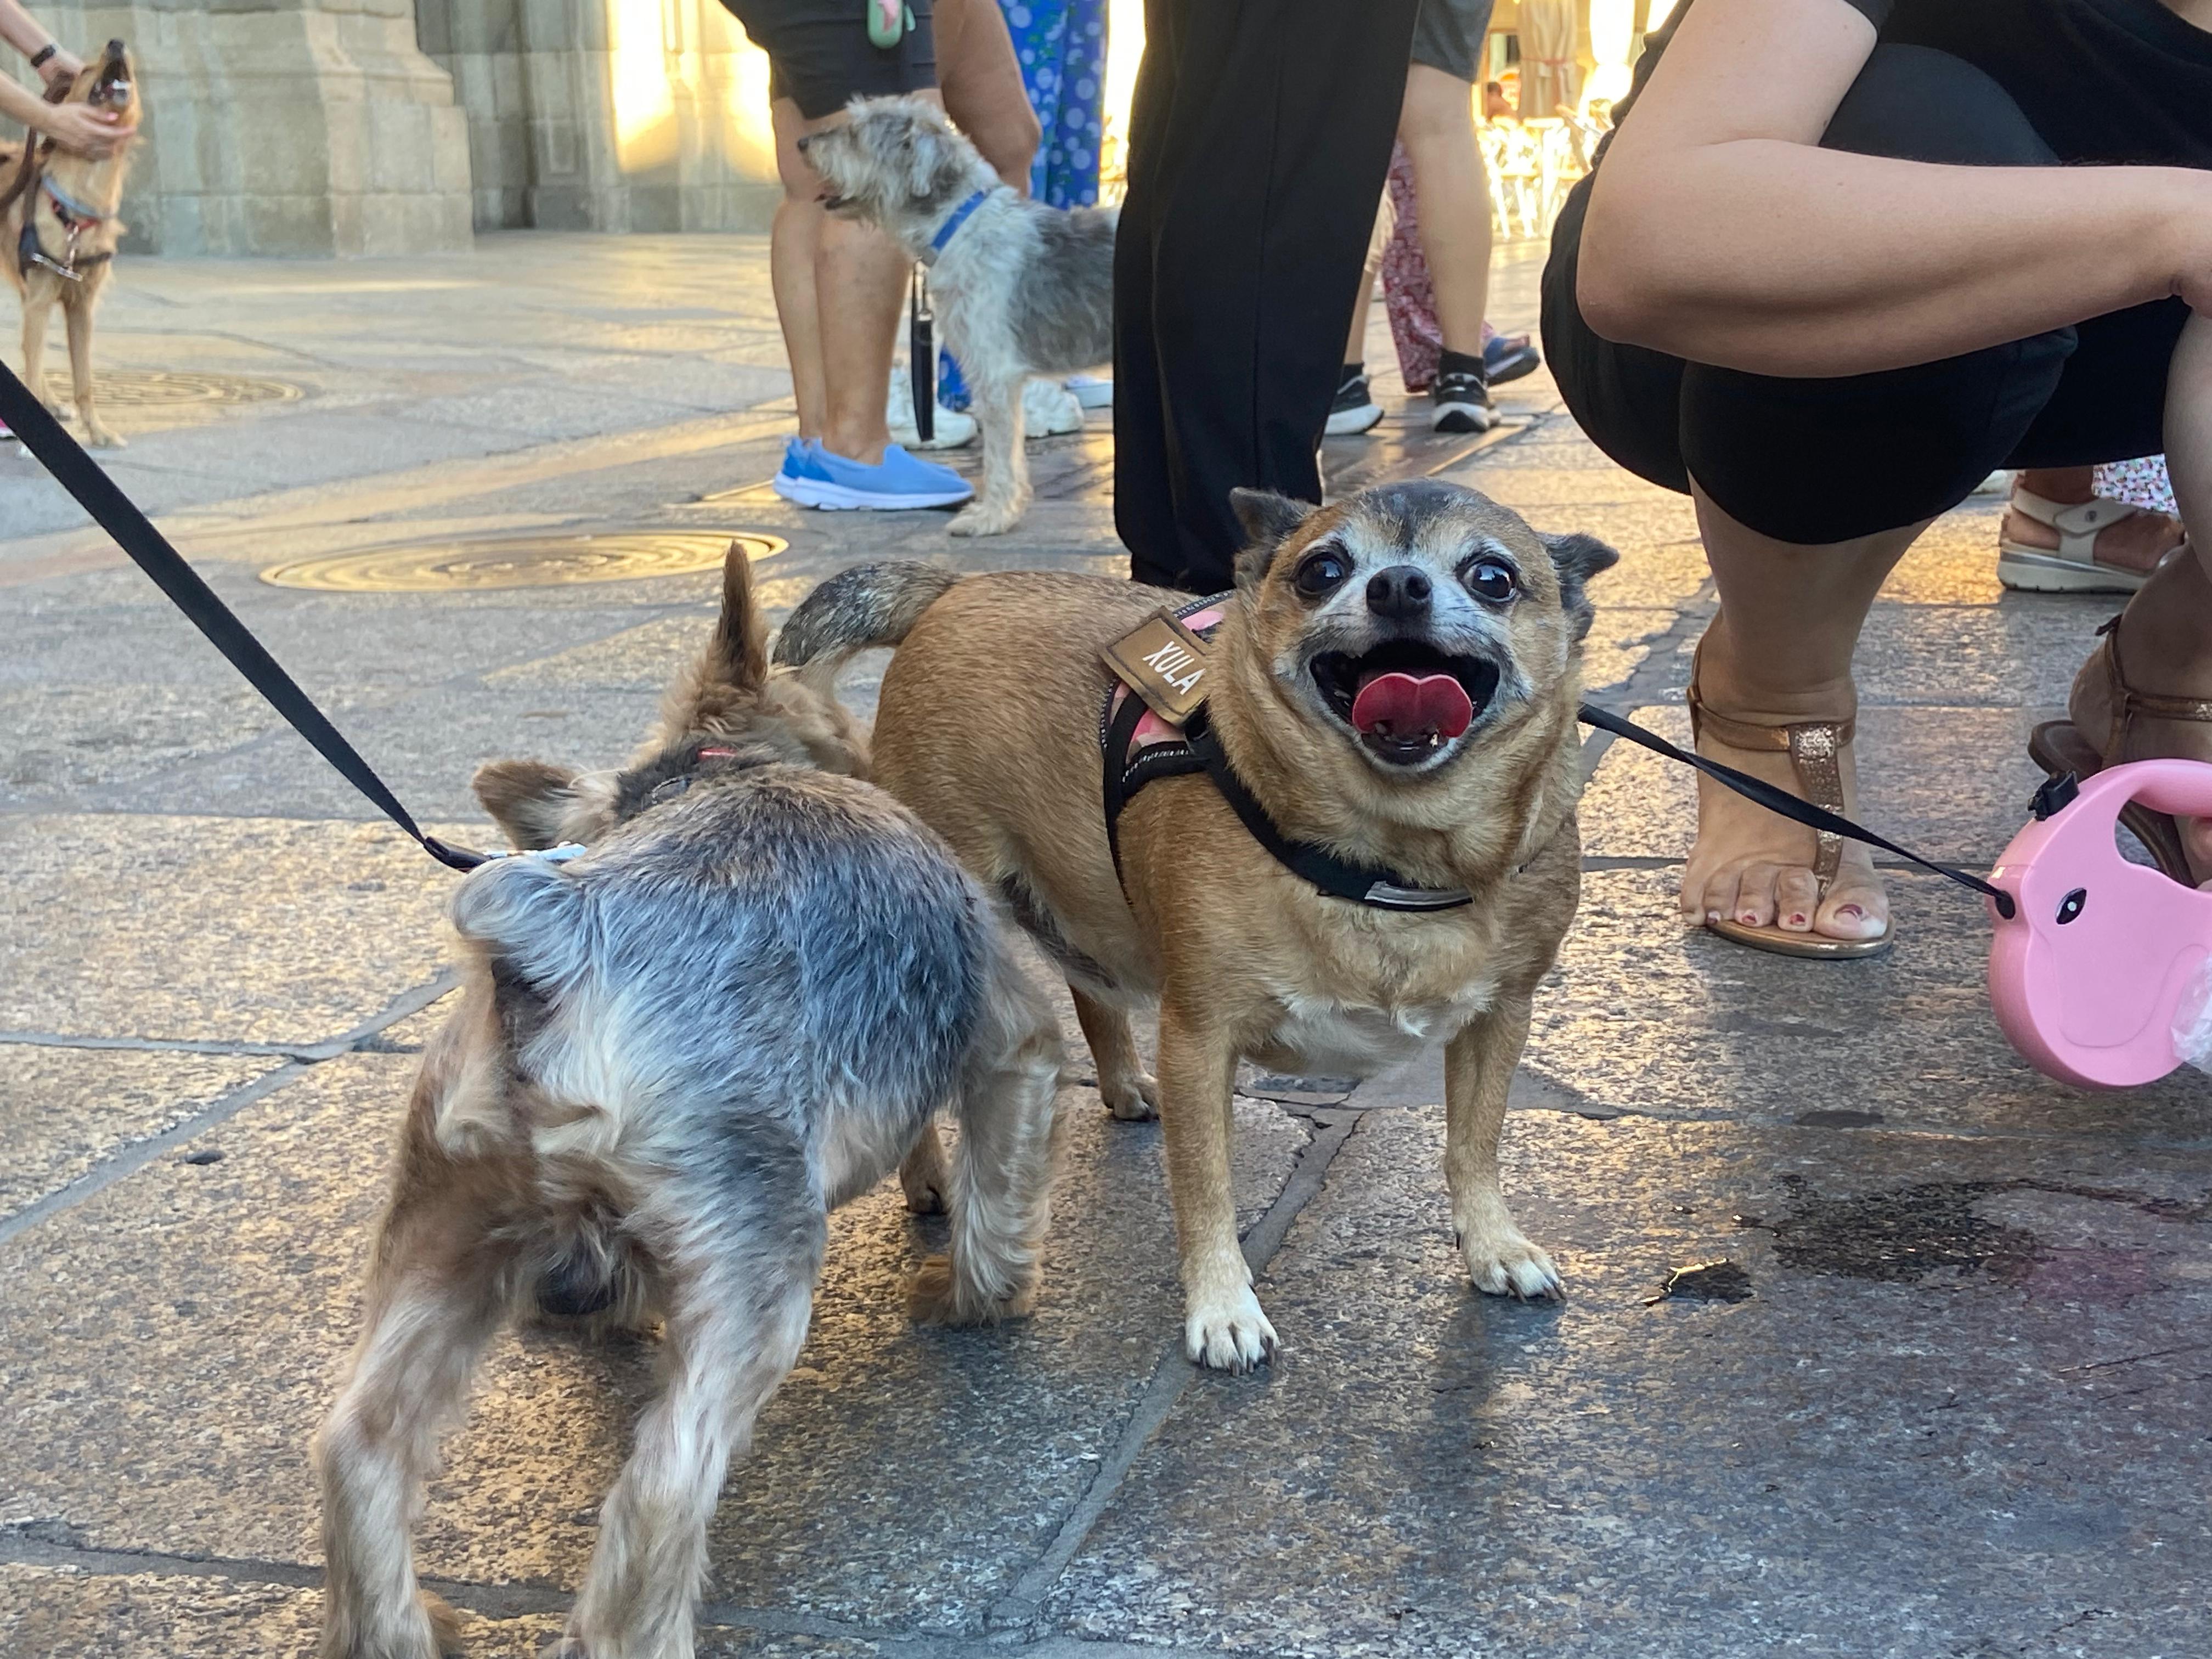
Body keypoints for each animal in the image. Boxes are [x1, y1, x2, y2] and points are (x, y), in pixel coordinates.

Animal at [2, 41, 138, 449]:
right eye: (84, 72)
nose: (117, 43)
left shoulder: (80, 306)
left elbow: (84, 380)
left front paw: (98, 430)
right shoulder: (41, 299)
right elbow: (33, 365)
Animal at [312, 546, 1062, 1659]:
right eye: (850, 735)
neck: (719, 770)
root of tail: (558, 936)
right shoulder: (1012, 1037)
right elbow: (998, 1192)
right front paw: (981, 1295)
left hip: (446, 1217)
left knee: (359, 1445)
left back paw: (397, 1627)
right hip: (758, 1255)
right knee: (665, 1486)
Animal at [787, 479, 1619, 1380]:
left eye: (1493, 578)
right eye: (1322, 571)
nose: (1398, 586)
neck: (1389, 857)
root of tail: (951, 590)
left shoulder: (1501, 1016)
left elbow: (1475, 1141)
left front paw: (1493, 1243)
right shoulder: (1199, 1040)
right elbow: (1204, 1185)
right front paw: (1222, 1306)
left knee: (1091, 986)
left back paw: (1122, 1084)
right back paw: (930, 1183)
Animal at [800, 94, 1115, 539]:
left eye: (857, 134)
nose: (803, 143)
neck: (959, 225)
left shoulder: (994, 374)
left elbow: (1000, 457)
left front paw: (991, 516)